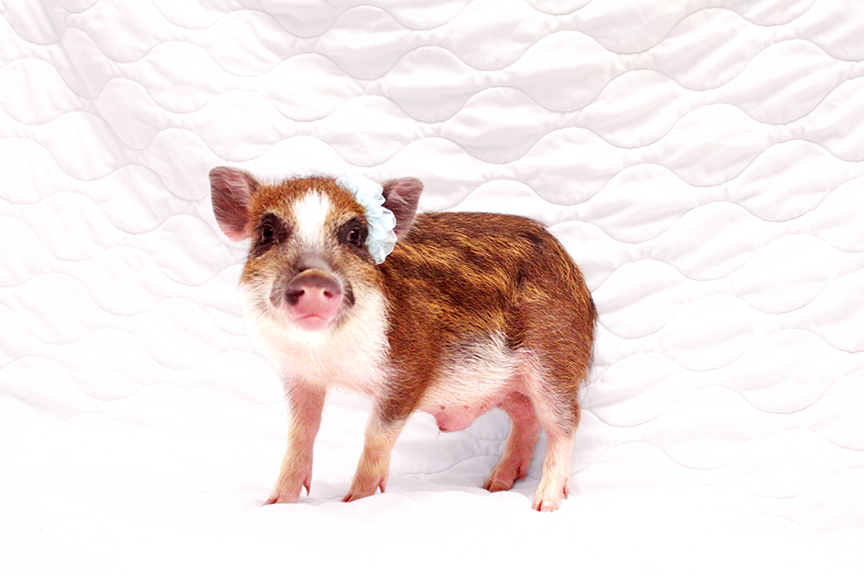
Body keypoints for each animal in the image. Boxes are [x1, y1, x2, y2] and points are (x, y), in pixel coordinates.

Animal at [209, 167, 596, 511]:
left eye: (355, 234)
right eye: (267, 231)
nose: (315, 278)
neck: (325, 354)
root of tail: (576, 276)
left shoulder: (409, 368)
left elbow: (376, 435)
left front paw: (354, 501)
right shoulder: (299, 375)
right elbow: (300, 432)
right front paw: (274, 503)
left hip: (553, 361)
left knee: (565, 424)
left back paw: (544, 504)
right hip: (504, 385)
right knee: (527, 417)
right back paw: (494, 486)